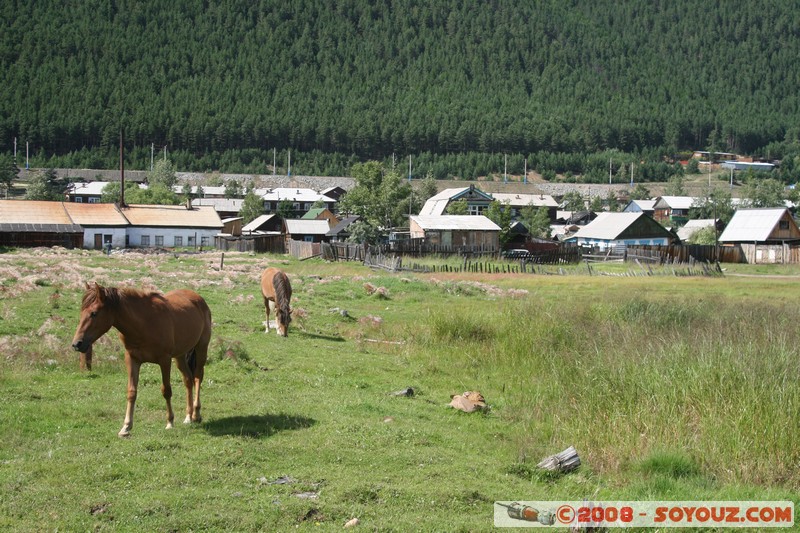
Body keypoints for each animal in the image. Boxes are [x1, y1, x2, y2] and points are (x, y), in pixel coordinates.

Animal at [71, 282, 212, 436]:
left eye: (94, 313)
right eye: (81, 312)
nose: (77, 344)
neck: (144, 323)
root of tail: (198, 298)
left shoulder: (164, 360)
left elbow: (166, 391)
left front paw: (170, 422)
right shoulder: (132, 360)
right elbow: (131, 392)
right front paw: (126, 427)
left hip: (201, 348)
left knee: (197, 377)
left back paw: (196, 415)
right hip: (180, 356)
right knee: (188, 380)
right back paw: (188, 417)